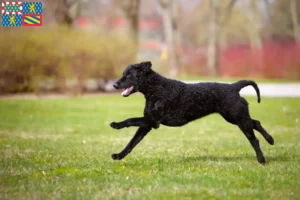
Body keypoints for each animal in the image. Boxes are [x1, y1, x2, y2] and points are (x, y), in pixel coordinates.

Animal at [110, 61, 274, 164]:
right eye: (123, 74)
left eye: (128, 75)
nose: (114, 84)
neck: (156, 88)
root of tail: (234, 87)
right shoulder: (147, 123)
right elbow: (131, 143)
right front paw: (119, 155)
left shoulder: (153, 121)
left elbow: (130, 120)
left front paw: (116, 124)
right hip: (235, 117)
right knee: (256, 122)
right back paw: (271, 140)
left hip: (238, 118)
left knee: (254, 139)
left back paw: (261, 160)